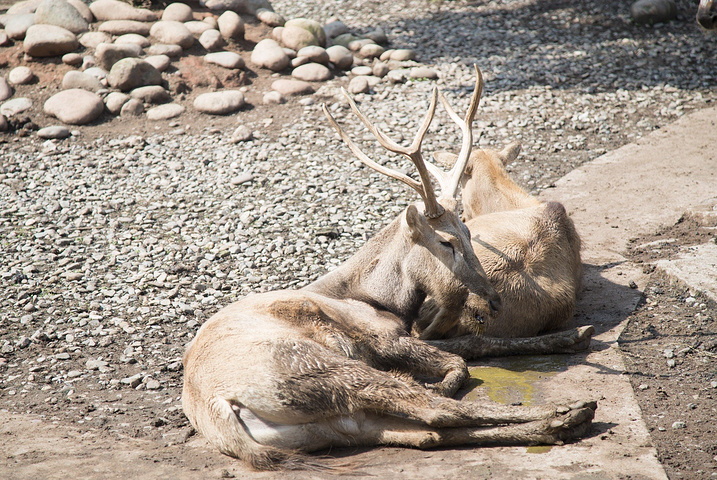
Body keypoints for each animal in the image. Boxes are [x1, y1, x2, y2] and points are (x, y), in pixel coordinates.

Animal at [182, 69, 596, 470]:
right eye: (446, 241)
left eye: (469, 230)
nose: (492, 301)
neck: (380, 299)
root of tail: (220, 409)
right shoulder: (383, 338)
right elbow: (462, 358)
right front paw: (442, 381)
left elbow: (477, 343)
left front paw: (573, 336)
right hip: (324, 370)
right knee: (437, 412)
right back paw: (567, 411)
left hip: (340, 423)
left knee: (429, 433)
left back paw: (560, 422)